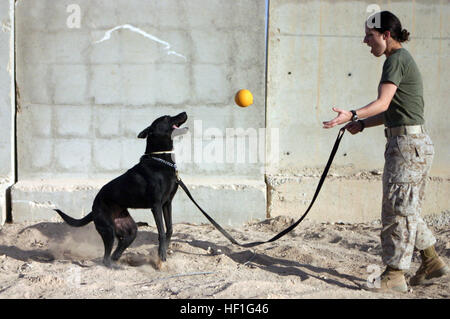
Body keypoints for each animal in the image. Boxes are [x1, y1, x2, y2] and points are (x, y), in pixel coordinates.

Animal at [54, 111, 188, 268]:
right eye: (167, 118)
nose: (184, 112)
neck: (160, 160)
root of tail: (93, 209)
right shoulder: (156, 206)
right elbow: (161, 231)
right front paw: (161, 253)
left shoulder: (167, 203)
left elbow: (170, 229)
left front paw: (164, 250)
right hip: (108, 230)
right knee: (105, 258)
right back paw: (114, 267)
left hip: (130, 230)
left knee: (118, 249)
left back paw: (119, 261)